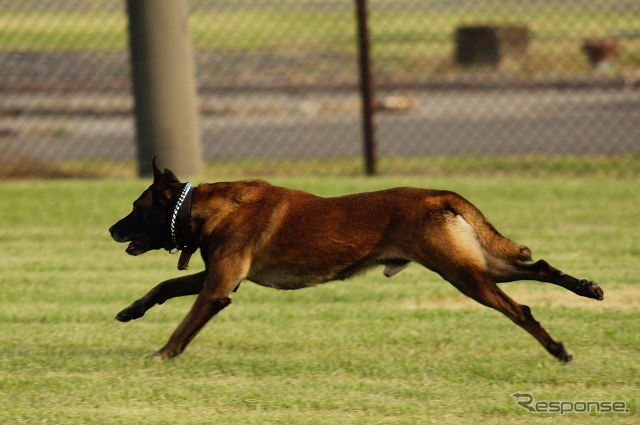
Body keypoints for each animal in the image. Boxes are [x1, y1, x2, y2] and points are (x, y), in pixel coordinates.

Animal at [111, 159, 604, 362]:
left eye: (135, 207)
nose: (111, 230)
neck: (204, 207)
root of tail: (437, 195)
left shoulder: (218, 288)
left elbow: (184, 325)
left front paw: (162, 354)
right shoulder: (221, 277)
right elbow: (164, 287)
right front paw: (131, 310)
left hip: (465, 275)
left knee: (521, 310)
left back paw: (557, 349)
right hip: (478, 266)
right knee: (540, 268)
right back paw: (588, 288)